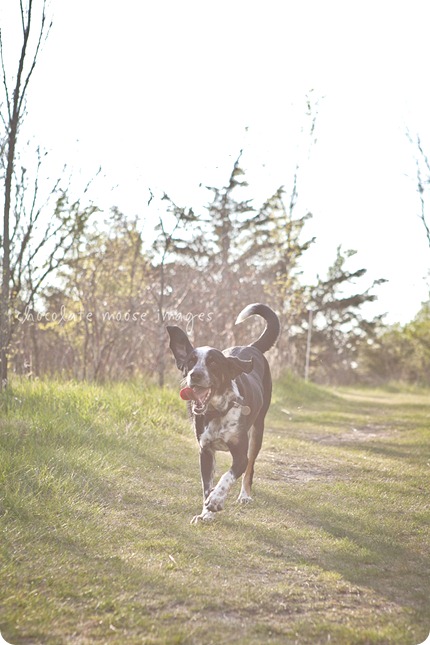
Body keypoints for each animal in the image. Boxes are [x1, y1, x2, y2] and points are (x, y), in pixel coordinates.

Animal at [166, 304, 280, 524]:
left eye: (213, 363)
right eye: (191, 361)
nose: (195, 375)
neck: (216, 412)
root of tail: (251, 347)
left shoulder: (240, 455)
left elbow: (228, 476)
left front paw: (216, 500)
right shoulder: (205, 452)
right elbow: (206, 486)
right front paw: (206, 513)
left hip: (257, 431)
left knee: (250, 469)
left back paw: (244, 495)